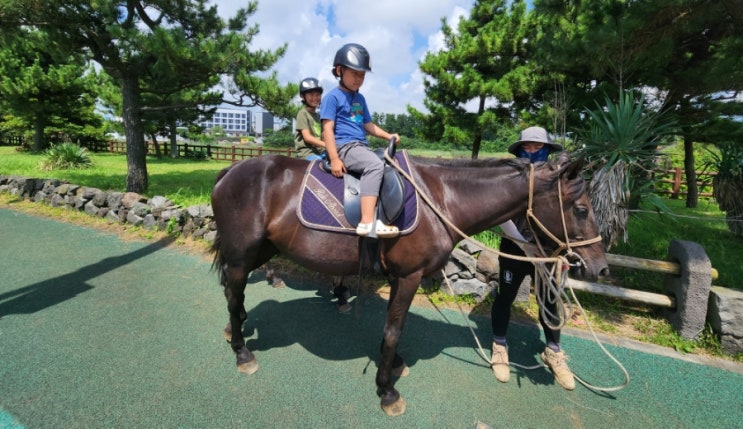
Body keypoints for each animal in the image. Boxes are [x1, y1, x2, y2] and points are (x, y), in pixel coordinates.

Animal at [209, 150, 612, 414]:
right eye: (581, 209)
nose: (599, 267)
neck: (441, 200)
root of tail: (231, 169)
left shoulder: (401, 277)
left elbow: (391, 327)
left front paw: (393, 365)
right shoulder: (409, 276)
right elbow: (393, 330)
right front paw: (387, 390)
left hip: (260, 250)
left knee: (232, 290)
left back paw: (235, 329)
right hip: (244, 252)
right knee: (232, 292)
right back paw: (243, 352)